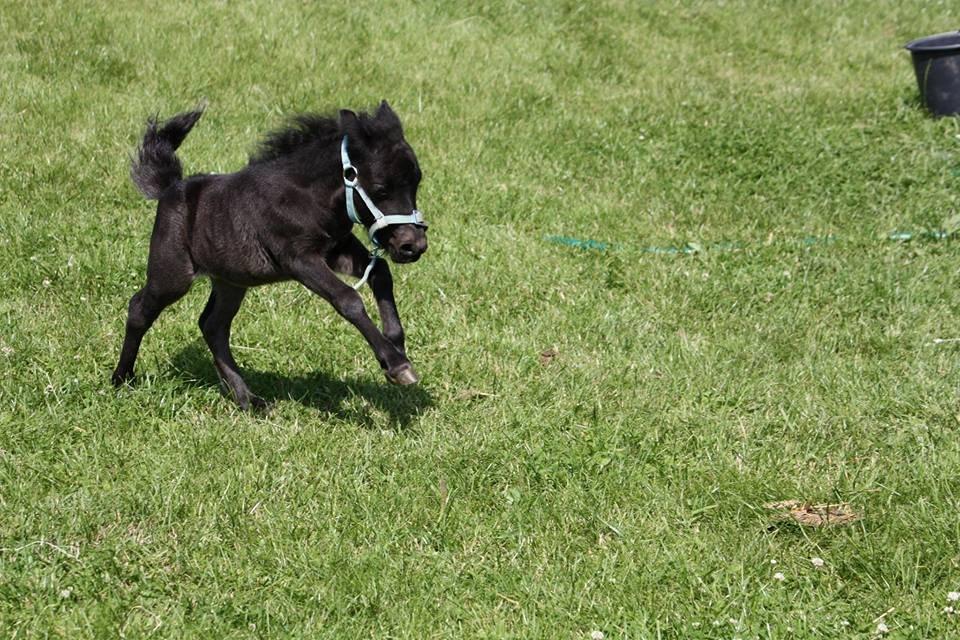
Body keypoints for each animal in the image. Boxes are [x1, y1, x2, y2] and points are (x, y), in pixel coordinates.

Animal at [111, 102, 428, 408]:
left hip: (231, 281)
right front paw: (397, 365)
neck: (307, 198)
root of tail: (170, 188)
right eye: (380, 189)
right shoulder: (299, 259)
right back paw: (121, 378)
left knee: (213, 325)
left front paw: (396, 345)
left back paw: (247, 399)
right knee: (140, 308)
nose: (414, 246)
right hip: (173, 274)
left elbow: (380, 271)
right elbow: (348, 299)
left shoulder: (337, 249)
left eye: (416, 182)